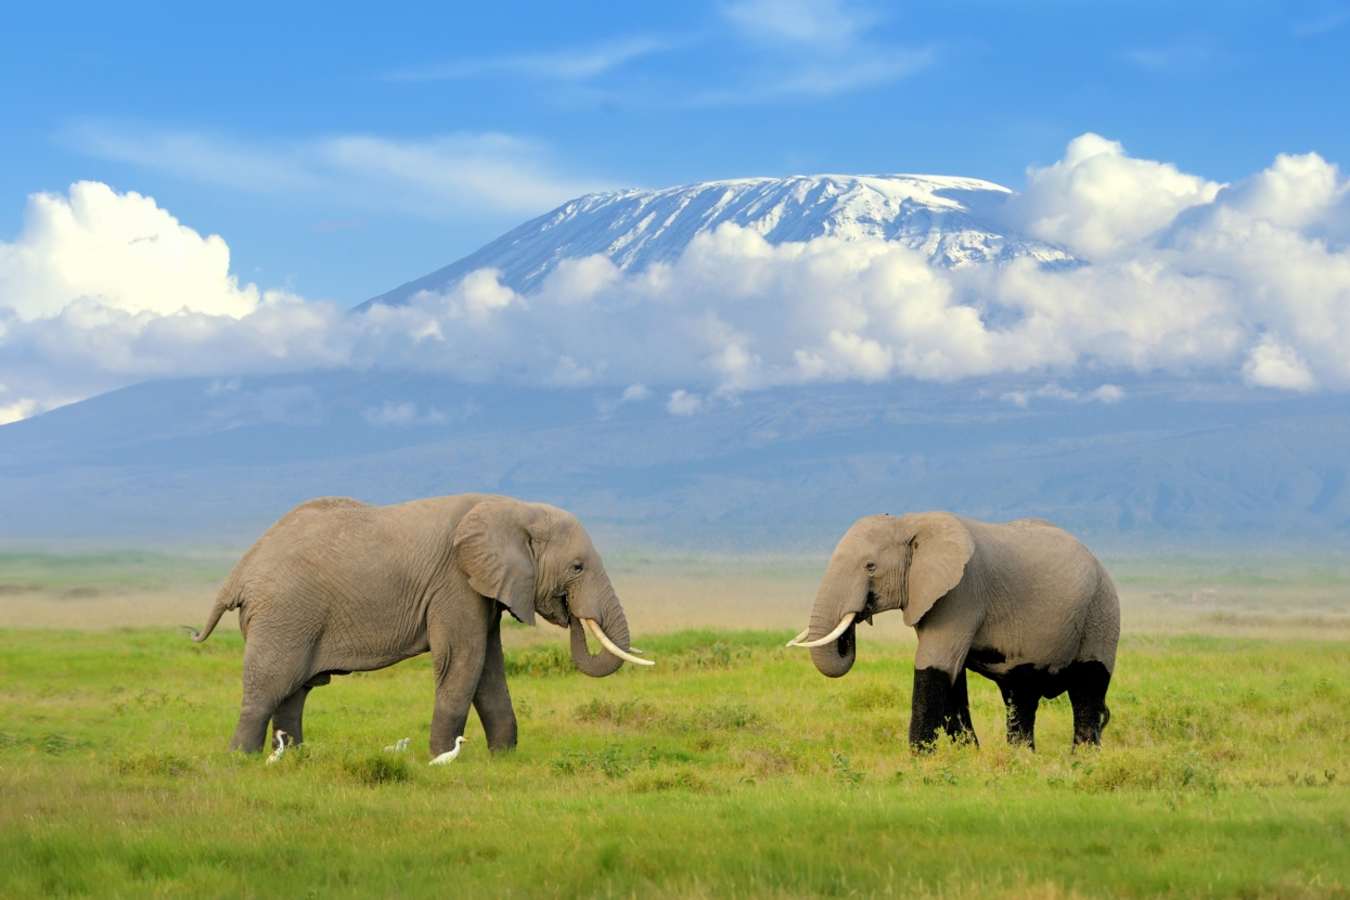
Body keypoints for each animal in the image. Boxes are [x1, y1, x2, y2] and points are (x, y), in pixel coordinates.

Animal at [190, 494, 652, 757]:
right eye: (577, 568)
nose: (569, 611)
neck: (514, 508)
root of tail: (240, 570)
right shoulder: (454, 582)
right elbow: (463, 660)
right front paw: (442, 758)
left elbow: (488, 668)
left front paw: (503, 758)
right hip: (284, 614)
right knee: (270, 685)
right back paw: (242, 760)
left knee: (295, 691)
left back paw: (297, 757)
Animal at [788, 512, 1118, 751]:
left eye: (870, 566)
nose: (857, 618)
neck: (910, 522)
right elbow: (952, 677)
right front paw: (968, 755)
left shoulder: (961, 594)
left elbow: (935, 666)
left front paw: (920, 760)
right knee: (1021, 696)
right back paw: (1022, 759)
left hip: (1102, 613)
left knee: (1088, 688)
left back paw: (1082, 761)